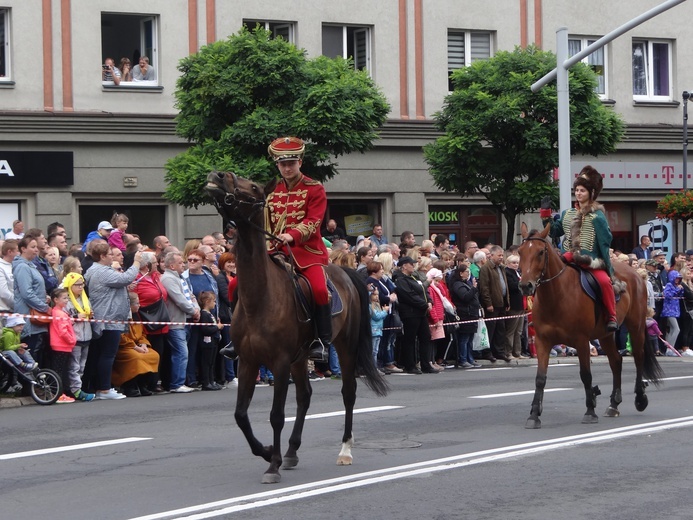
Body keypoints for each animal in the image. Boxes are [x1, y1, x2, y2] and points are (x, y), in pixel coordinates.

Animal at [205, 171, 390, 484]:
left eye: (252, 187)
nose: (217, 175)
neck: (260, 298)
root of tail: (344, 270)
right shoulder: (248, 361)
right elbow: (241, 415)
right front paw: (269, 452)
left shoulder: (279, 362)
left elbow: (276, 415)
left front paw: (272, 466)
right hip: (301, 357)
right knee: (305, 396)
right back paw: (291, 451)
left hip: (345, 346)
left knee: (348, 393)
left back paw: (344, 450)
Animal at [516, 225, 664, 428]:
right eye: (520, 252)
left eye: (540, 252)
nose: (525, 286)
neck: (557, 295)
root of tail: (636, 273)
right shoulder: (542, 341)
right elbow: (540, 378)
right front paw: (534, 415)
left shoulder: (581, 341)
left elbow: (585, 375)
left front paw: (590, 411)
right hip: (606, 334)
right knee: (616, 361)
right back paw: (614, 404)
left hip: (636, 325)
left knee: (638, 357)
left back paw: (640, 399)